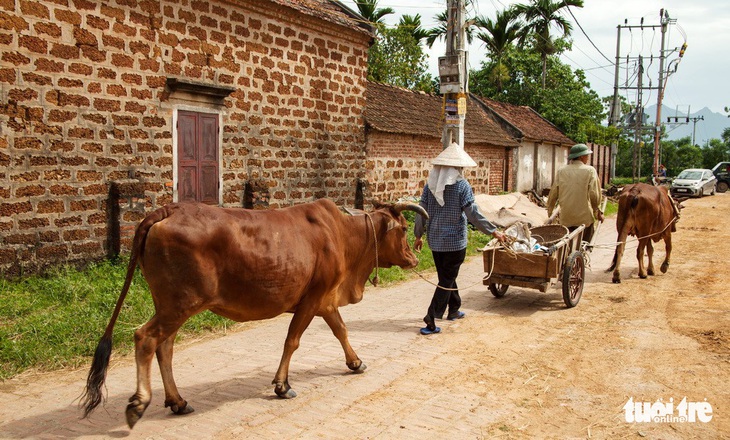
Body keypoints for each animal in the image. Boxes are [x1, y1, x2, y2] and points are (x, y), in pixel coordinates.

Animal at [81, 199, 426, 426]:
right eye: (403, 228)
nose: (413, 259)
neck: (342, 233)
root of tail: (169, 209)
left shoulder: (325, 300)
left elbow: (341, 330)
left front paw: (355, 362)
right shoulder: (313, 298)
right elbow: (293, 341)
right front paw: (282, 385)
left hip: (170, 305)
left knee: (164, 347)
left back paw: (177, 401)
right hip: (179, 305)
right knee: (145, 338)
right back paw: (139, 403)